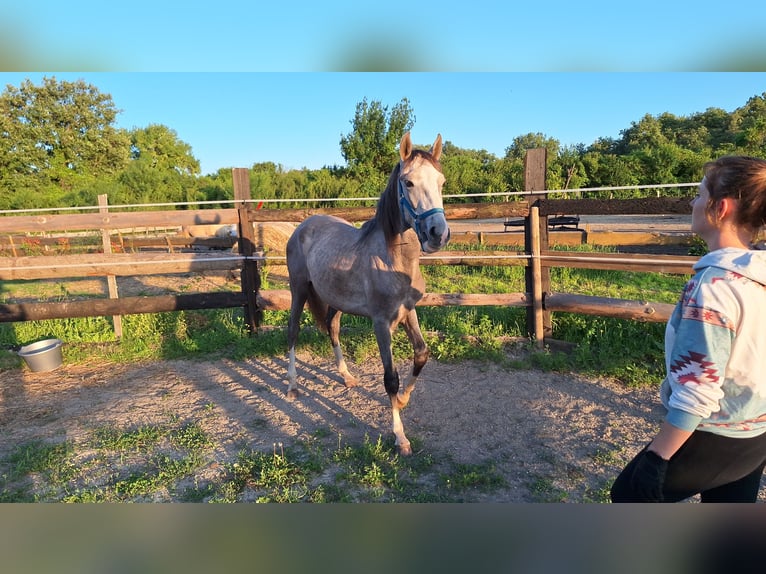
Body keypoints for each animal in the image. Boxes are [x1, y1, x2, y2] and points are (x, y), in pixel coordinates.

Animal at [286, 133, 450, 456]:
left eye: (441, 181)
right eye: (408, 183)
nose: (438, 233)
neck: (391, 258)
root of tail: (303, 226)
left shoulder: (408, 311)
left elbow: (421, 354)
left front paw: (404, 400)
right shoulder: (381, 323)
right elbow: (390, 378)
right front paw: (400, 437)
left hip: (334, 298)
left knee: (332, 327)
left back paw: (347, 377)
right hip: (298, 289)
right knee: (293, 330)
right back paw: (293, 386)